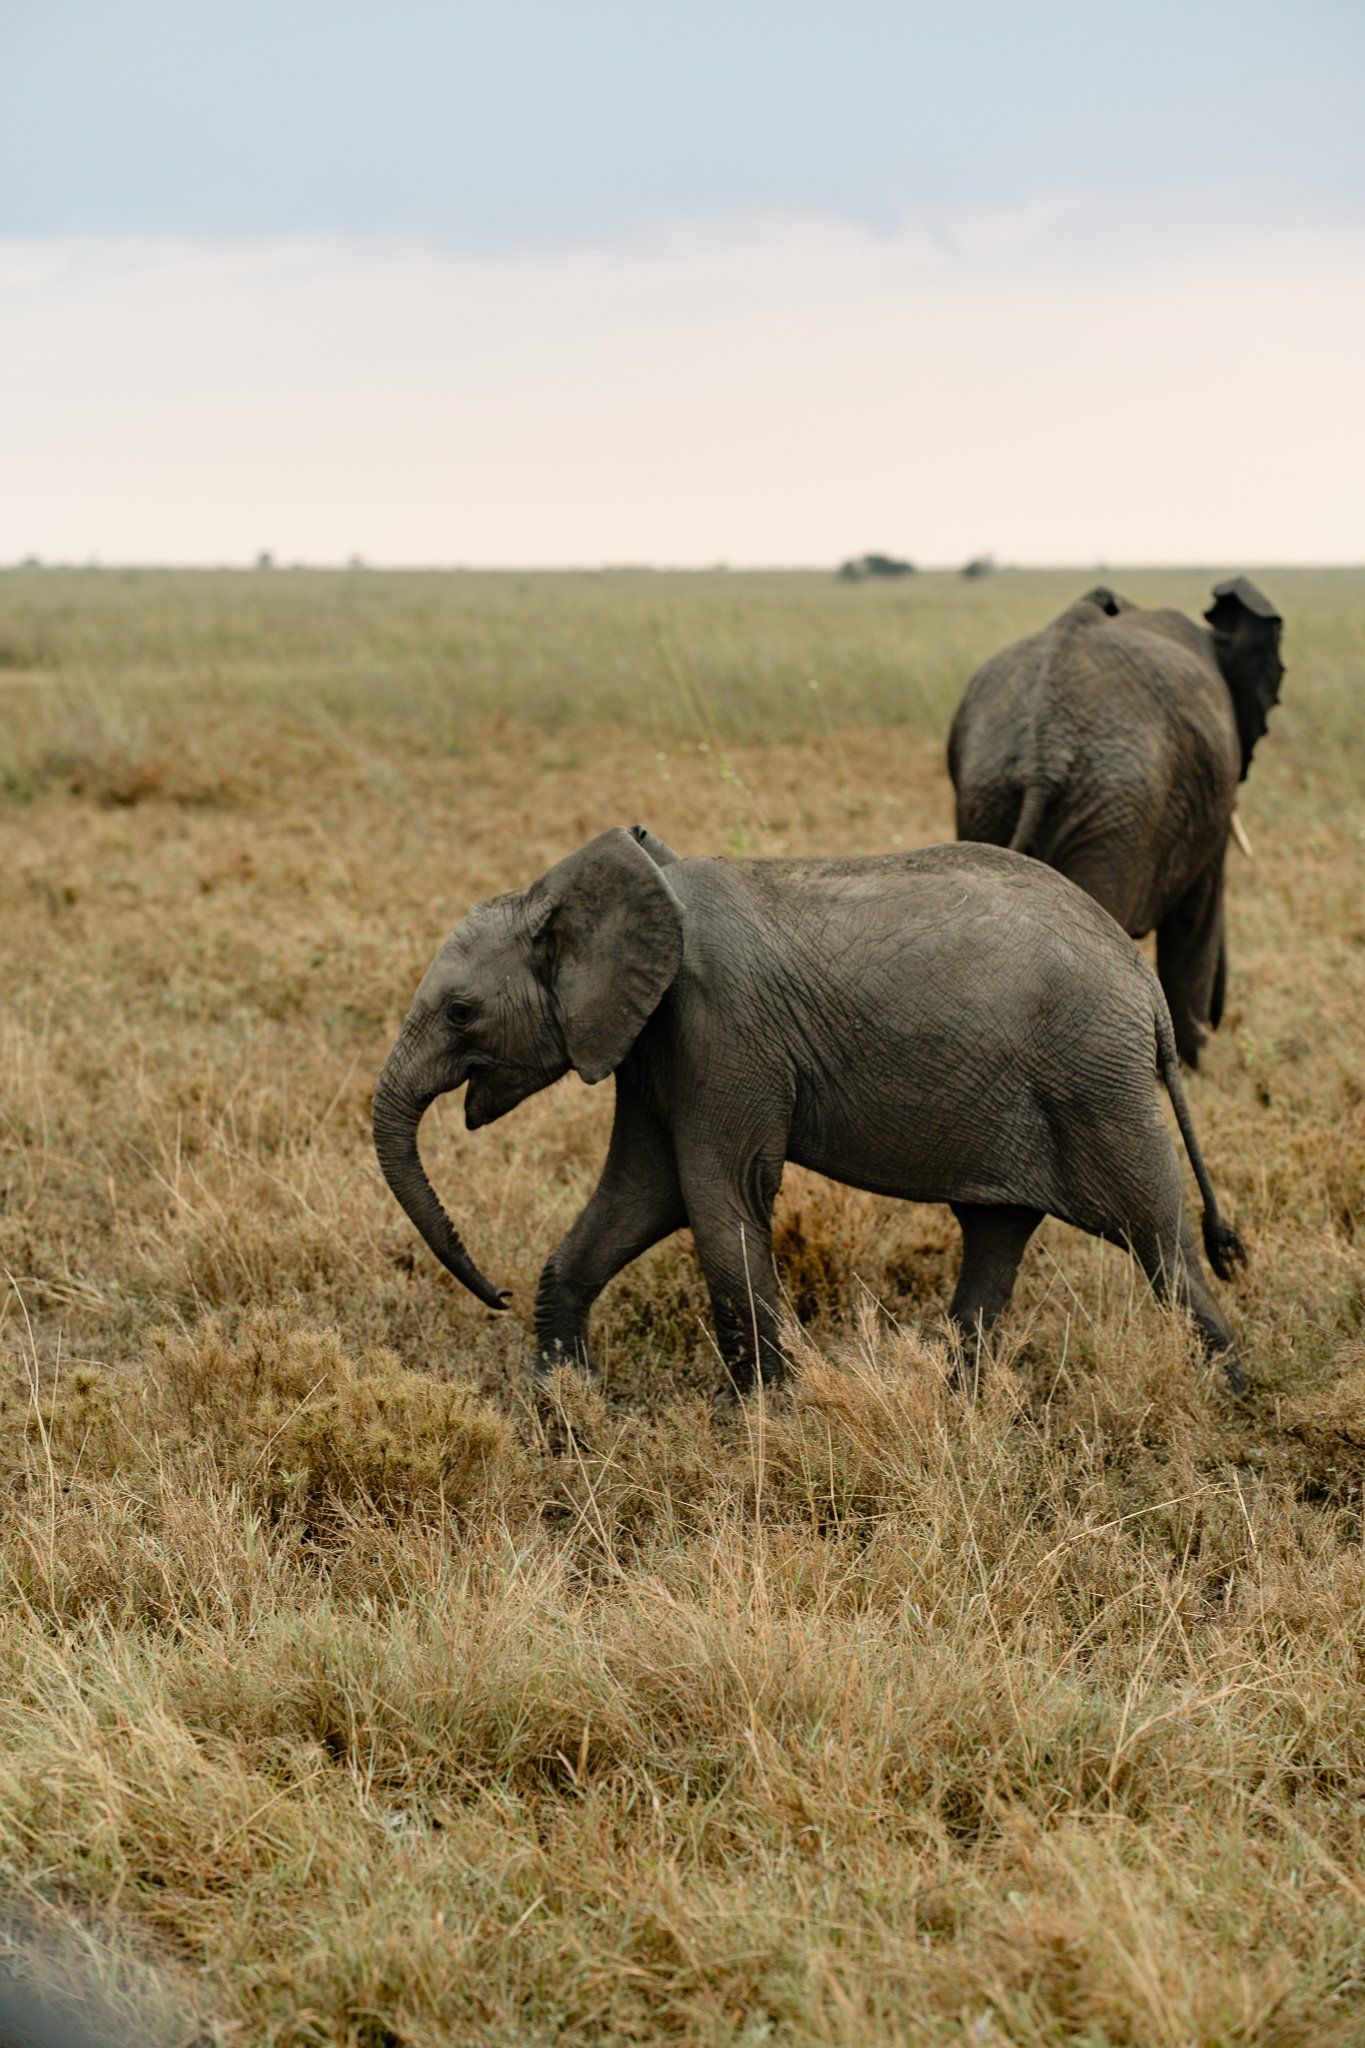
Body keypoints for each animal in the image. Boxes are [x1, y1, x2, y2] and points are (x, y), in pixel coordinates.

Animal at [373, 826, 1249, 1397]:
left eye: (460, 1013)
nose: (495, 1294)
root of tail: (1142, 984)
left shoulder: (721, 1029)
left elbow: (716, 1193)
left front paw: (765, 1417)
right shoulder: (654, 1041)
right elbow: (642, 1193)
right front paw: (562, 1402)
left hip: (1095, 1083)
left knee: (1157, 1241)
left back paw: (1229, 1395)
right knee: (998, 1231)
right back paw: (956, 1399)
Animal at [947, 578, 1284, 1066]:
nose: (1222, 1021)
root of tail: (1043, 750)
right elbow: (1194, 920)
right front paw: (1197, 1065)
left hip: (991, 792)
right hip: (1115, 807)